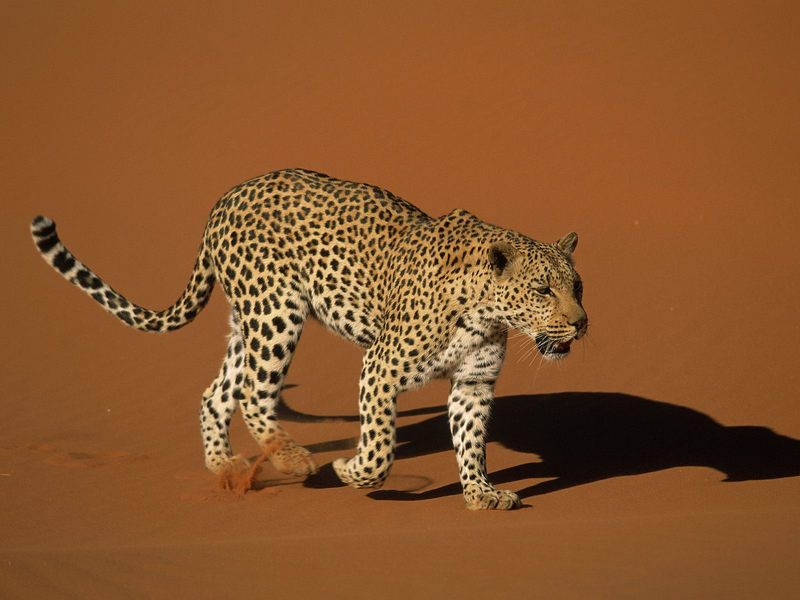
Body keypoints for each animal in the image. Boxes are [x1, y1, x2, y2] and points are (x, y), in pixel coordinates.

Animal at [29, 169, 588, 510]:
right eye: (543, 289)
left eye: (577, 286)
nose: (581, 323)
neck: (485, 310)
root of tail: (225, 198)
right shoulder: (380, 367)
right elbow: (380, 446)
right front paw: (351, 470)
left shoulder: (473, 383)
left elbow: (472, 443)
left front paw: (481, 493)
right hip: (276, 313)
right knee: (254, 394)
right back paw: (292, 458)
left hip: (248, 324)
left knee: (217, 393)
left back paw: (226, 466)